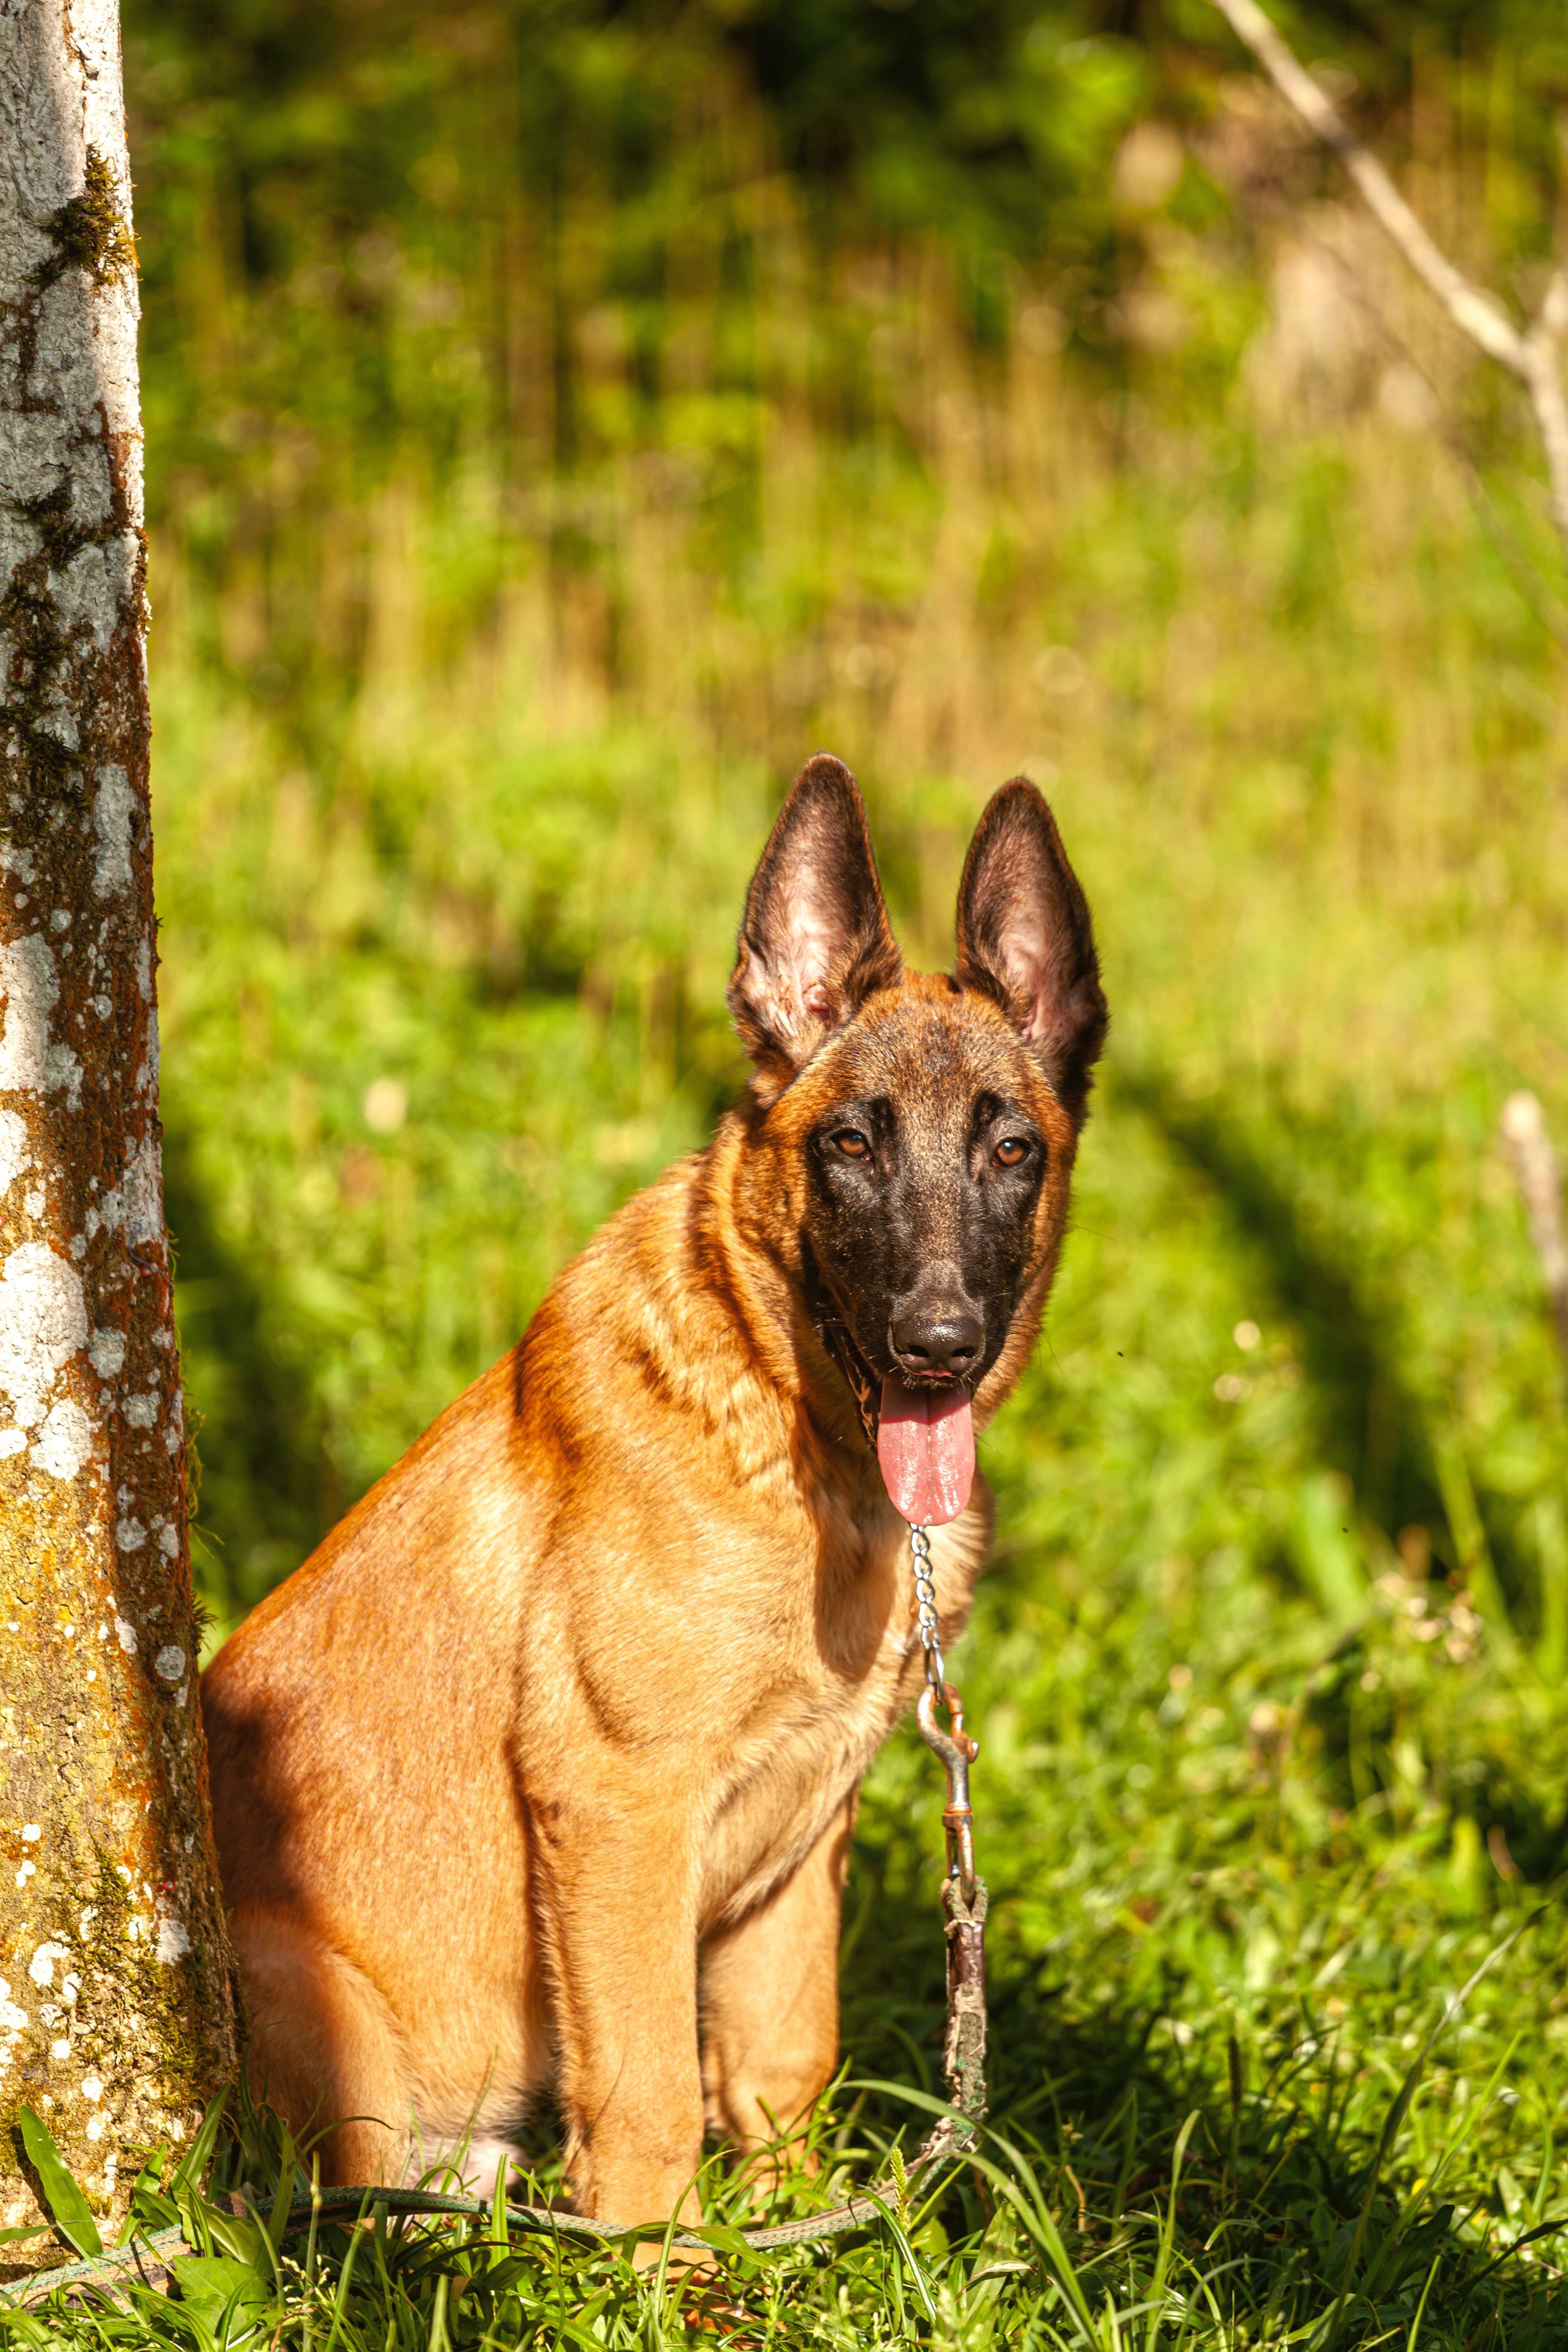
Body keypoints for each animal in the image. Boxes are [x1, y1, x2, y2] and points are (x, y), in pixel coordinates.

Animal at [202, 752, 1105, 2220]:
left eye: (1011, 1150)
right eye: (851, 1145)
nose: (939, 1342)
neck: (798, 1445)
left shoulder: (806, 1835)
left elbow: (782, 2059)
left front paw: (795, 2224)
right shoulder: (620, 1806)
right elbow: (648, 2095)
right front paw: (658, 2255)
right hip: (320, 2016)